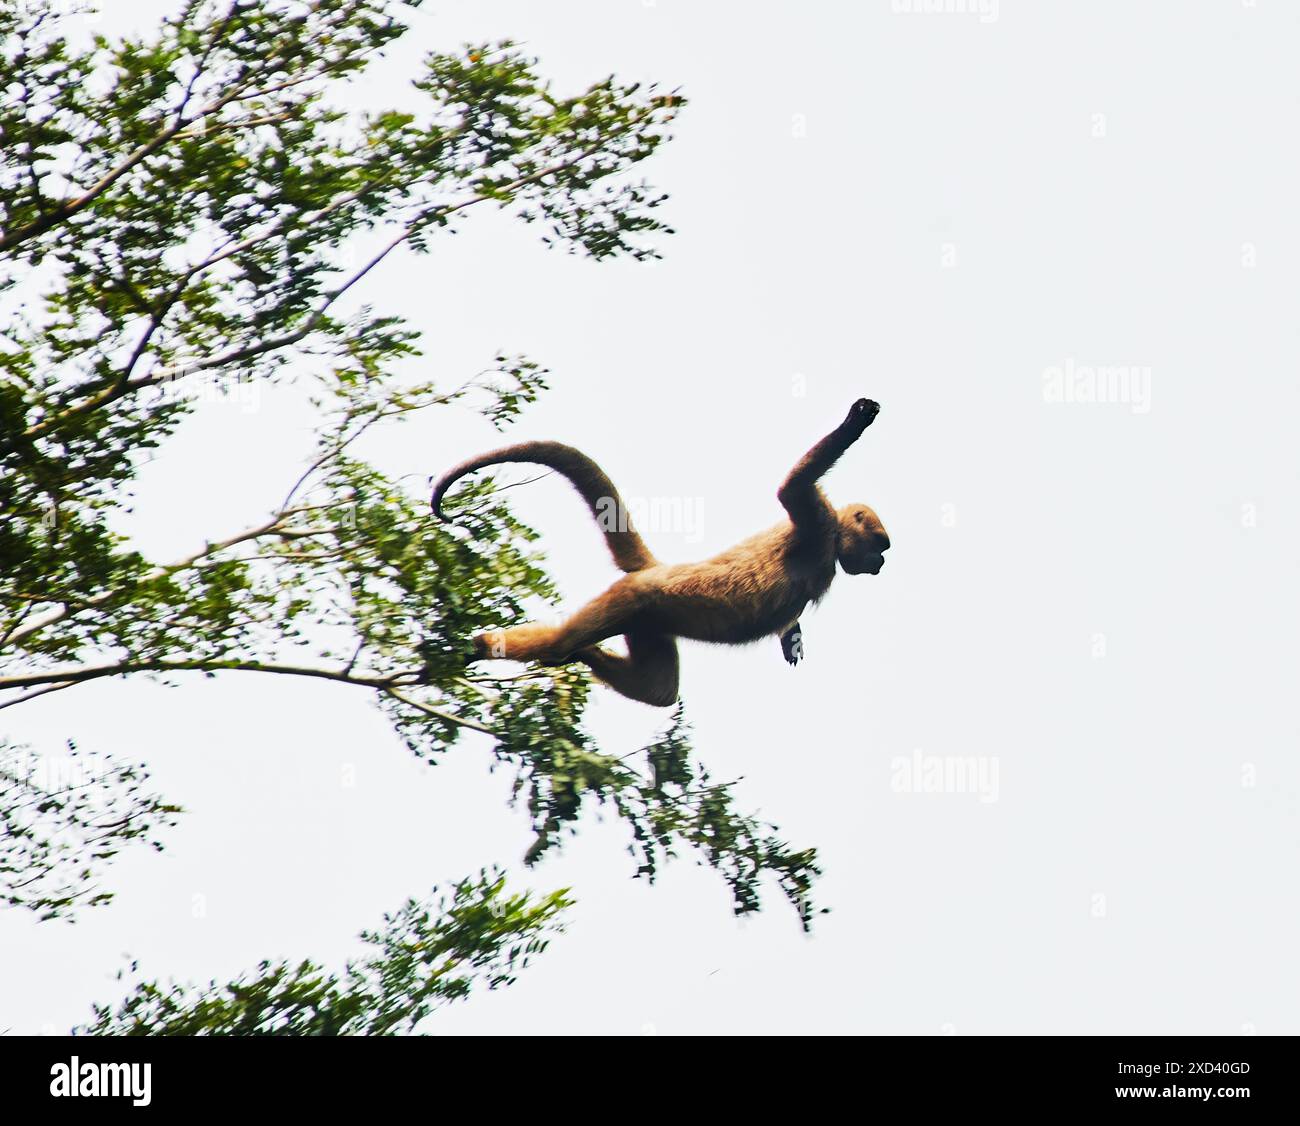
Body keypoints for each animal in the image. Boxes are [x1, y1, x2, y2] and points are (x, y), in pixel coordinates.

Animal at [431, 398, 889, 706]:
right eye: (881, 546)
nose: (882, 562)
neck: (832, 544)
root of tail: (656, 569)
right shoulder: (818, 523)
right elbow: (790, 488)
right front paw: (855, 422)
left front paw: (790, 636)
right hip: (632, 598)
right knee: (561, 642)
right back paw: (483, 645)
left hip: (647, 622)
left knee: (659, 691)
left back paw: (584, 654)